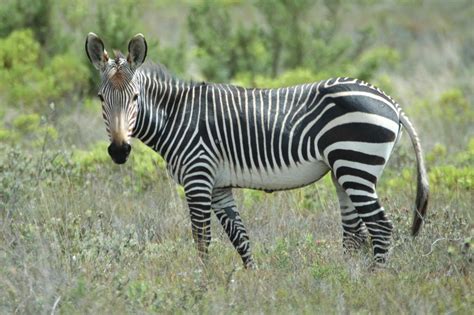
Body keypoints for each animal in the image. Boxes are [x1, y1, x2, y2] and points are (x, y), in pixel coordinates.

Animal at [86, 32, 430, 270]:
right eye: (101, 98)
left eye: (134, 98)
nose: (119, 151)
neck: (176, 117)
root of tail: (389, 100)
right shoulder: (219, 186)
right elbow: (240, 237)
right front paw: (251, 280)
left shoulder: (198, 178)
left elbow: (202, 239)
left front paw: (201, 283)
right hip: (343, 172)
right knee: (354, 233)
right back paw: (348, 279)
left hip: (356, 165)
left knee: (381, 227)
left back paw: (374, 279)